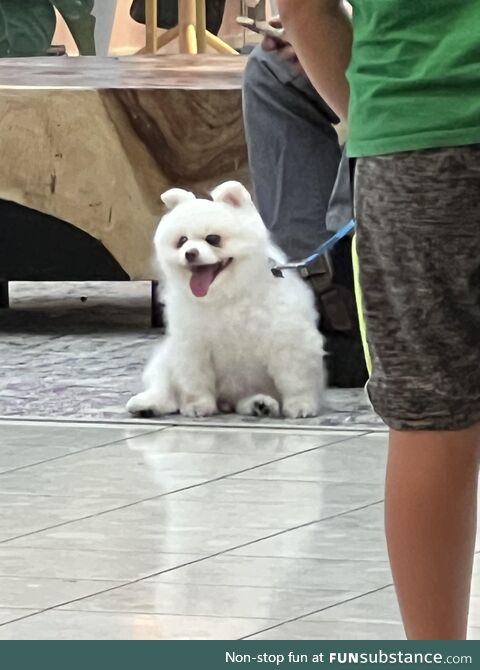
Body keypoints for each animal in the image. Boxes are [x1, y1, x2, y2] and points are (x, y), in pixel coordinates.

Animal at [125, 181, 324, 418]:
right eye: (182, 241)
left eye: (213, 239)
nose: (190, 253)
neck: (225, 295)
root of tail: (226, 402)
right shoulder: (192, 345)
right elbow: (195, 380)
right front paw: (198, 405)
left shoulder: (288, 340)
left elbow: (295, 379)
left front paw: (301, 404)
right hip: (166, 359)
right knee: (165, 388)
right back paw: (148, 403)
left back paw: (260, 404)